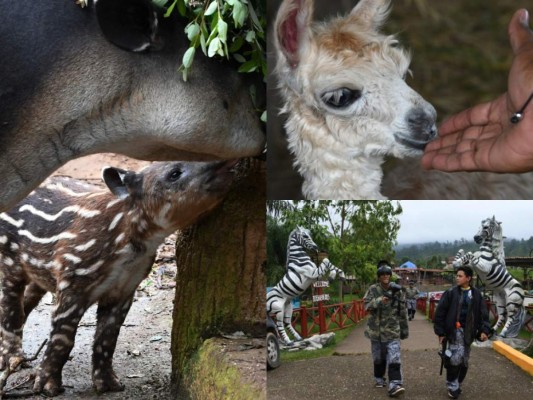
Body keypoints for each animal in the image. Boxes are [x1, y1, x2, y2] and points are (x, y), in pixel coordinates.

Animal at [0, 159, 237, 394]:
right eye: (174, 173)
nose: (225, 163)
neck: (130, 238)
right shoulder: (73, 284)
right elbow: (62, 338)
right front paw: (47, 387)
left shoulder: (124, 288)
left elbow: (107, 338)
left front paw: (109, 384)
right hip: (9, 260)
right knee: (12, 309)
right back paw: (14, 360)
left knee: (27, 300)